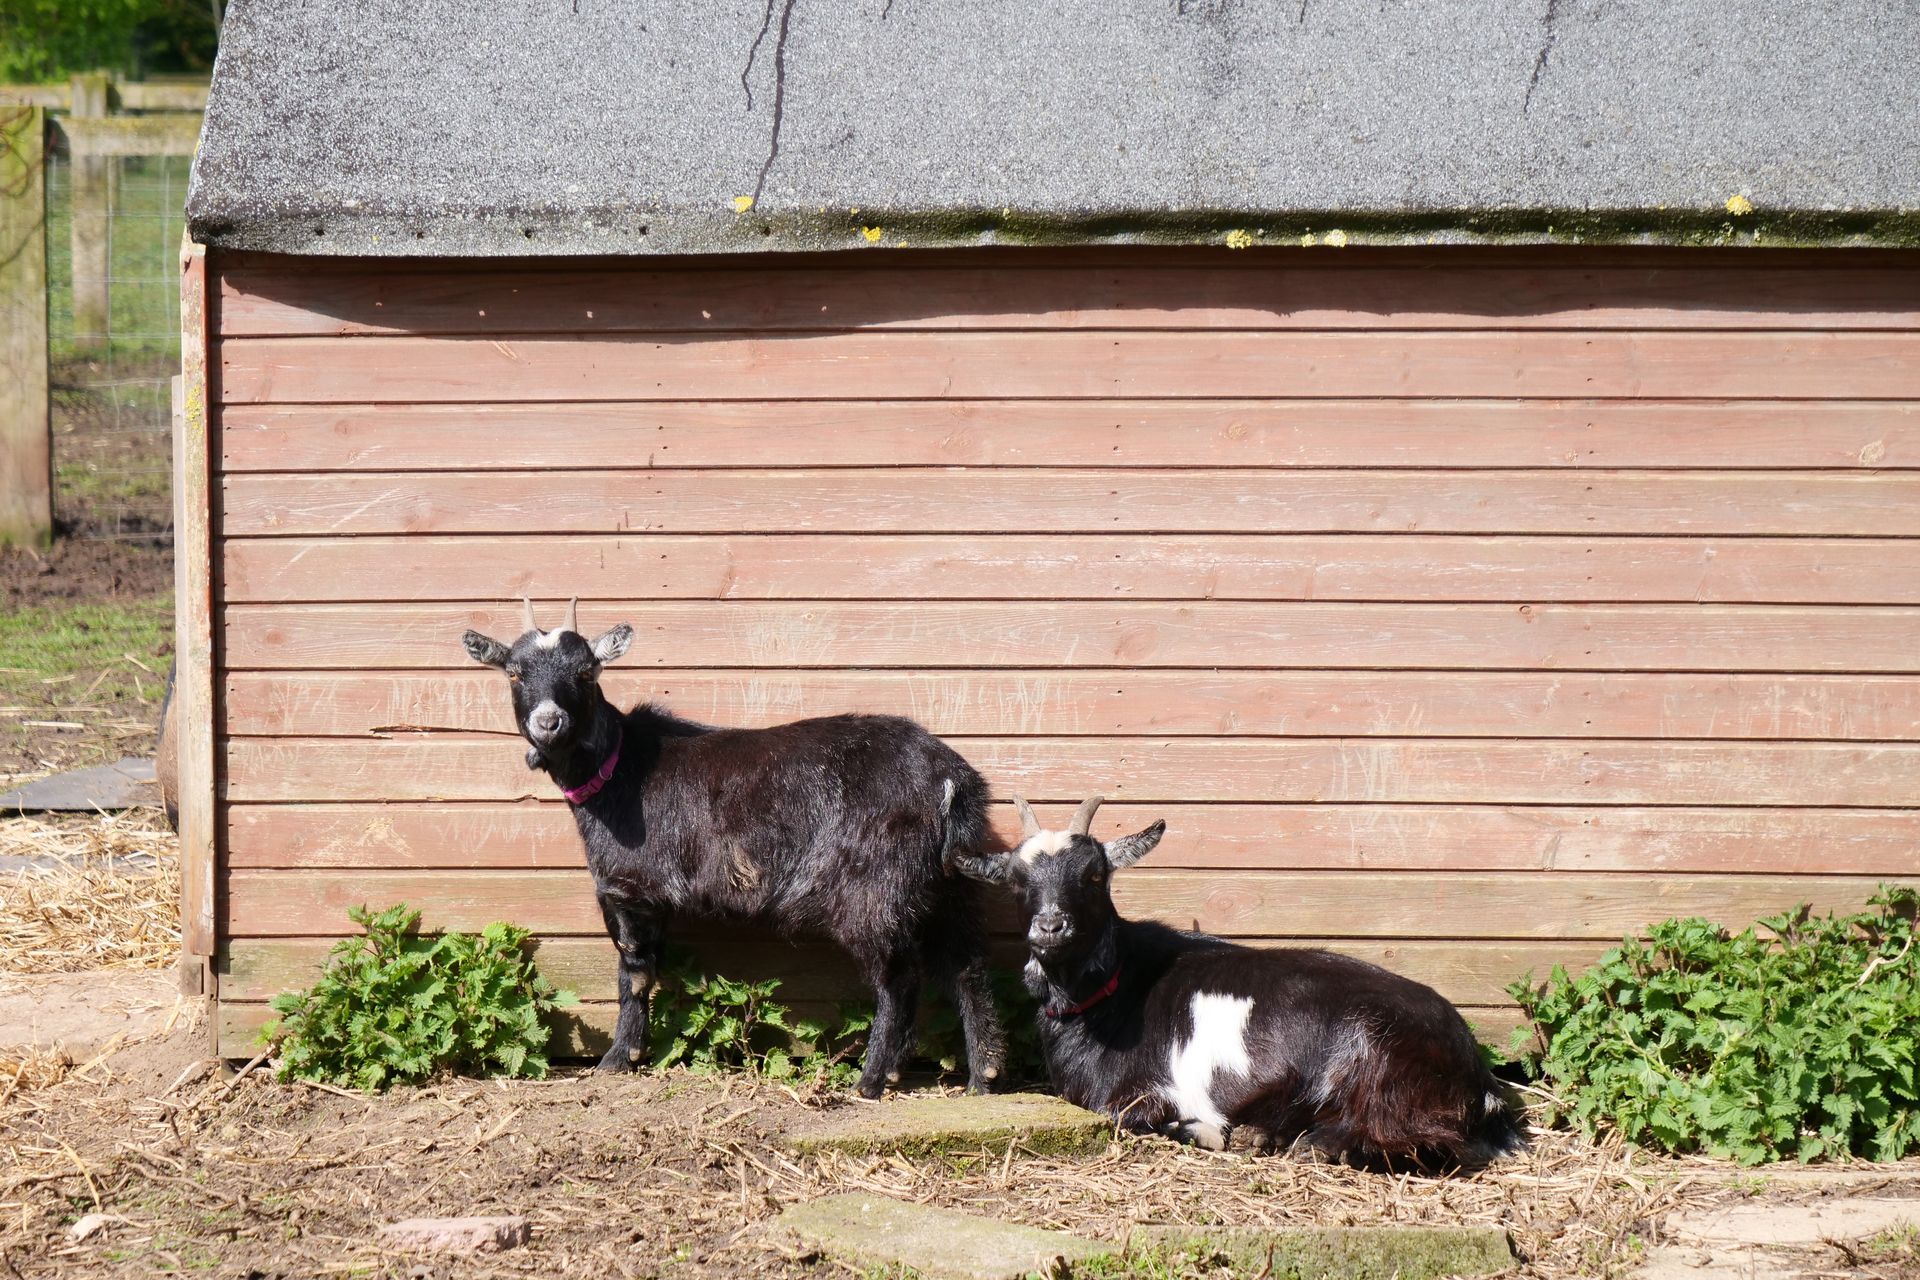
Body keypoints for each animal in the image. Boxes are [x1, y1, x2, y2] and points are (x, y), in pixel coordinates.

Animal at [462, 598, 1006, 1097]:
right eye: (514, 672)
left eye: (585, 671)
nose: (549, 722)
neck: (618, 766)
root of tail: (951, 781)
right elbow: (648, 968)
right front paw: (632, 1054)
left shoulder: (627, 888)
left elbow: (633, 974)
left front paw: (617, 1059)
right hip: (947, 882)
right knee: (968, 965)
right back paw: (982, 1077)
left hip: (874, 889)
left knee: (899, 977)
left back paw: (872, 1079)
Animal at [953, 796, 1523, 1169]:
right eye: (1018, 882)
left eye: (1094, 876)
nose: (1051, 927)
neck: (1109, 990)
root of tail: (1476, 1073)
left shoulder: (1143, 1094)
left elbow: (1136, 1115)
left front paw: (1202, 1129)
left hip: (1379, 1059)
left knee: (1414, 1140)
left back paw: (1300, 1141)